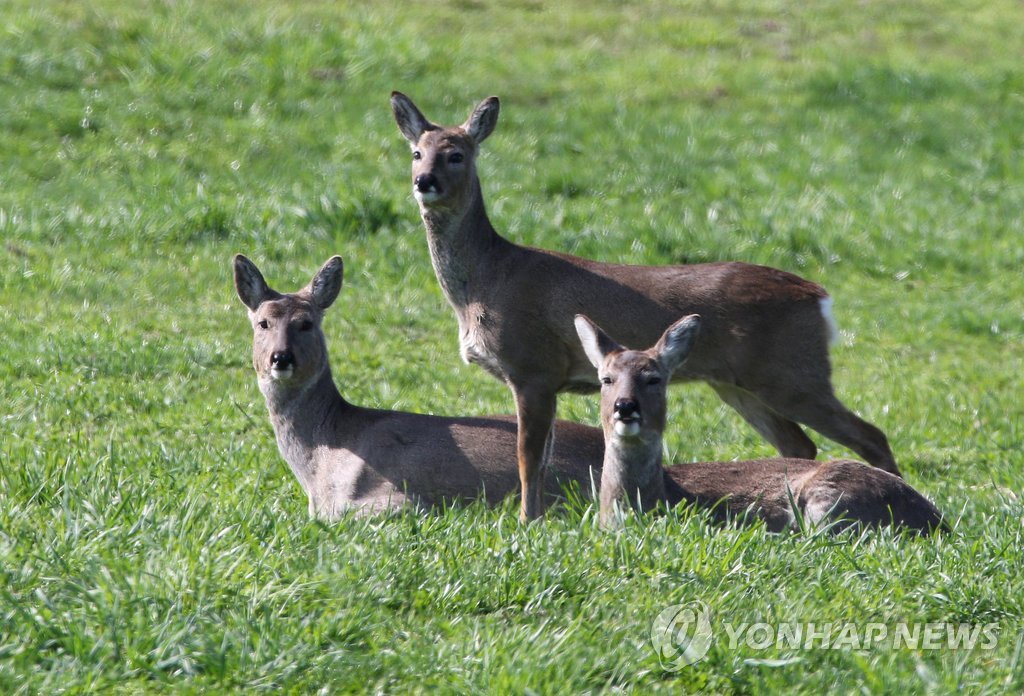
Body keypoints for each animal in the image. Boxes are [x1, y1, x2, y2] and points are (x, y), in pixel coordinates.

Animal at [393, 91, 905, 522]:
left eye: (457, 154)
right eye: (417, 151)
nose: (424, 181)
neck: (487, 279)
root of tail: (820, 297)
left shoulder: (532, 368)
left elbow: (528, 459)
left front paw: (525, 524)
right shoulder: (548, 379)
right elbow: (541, 459)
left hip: (793, 374)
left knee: (870, 435)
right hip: (739, 384)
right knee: (799, 442)